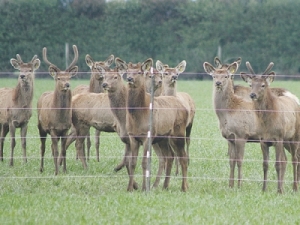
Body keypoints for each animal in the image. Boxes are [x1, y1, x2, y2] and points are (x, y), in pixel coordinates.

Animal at [37, 43, 78, 174]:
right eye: (59, 78)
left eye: (69, 77)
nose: (67, 85)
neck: (59, 119)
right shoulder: (53, 129)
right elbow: (56, 151)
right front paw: (56, 172)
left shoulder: (65, 130)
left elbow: (63, 150)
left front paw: (64, 170)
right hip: (40, 127)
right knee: (43, 147)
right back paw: (41, 168)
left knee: (51, 147)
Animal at [124, 58, 188, 192]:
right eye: (127, 71)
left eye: (139, 72)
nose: (129, 78)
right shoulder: (132, 136)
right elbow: (132, 162)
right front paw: (130, 188)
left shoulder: (147, 135)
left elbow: (144, 162)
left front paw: (144, 188)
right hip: (163, 138)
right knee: (170, 156)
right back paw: (165, 186)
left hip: (178, 133)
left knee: (183, 157)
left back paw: (184, 187)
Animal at [240, 62, 300, 193]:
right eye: (251, 85)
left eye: (263, 85)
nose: (252, 94)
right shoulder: (262, 140)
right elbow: (265, 164)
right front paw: (264, 189)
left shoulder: (278, 137)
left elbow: (277, 164)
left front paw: (279, 191)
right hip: (285, 140)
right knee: (286, 159)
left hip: (294, 137)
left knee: (295, 159)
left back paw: (294, 187)